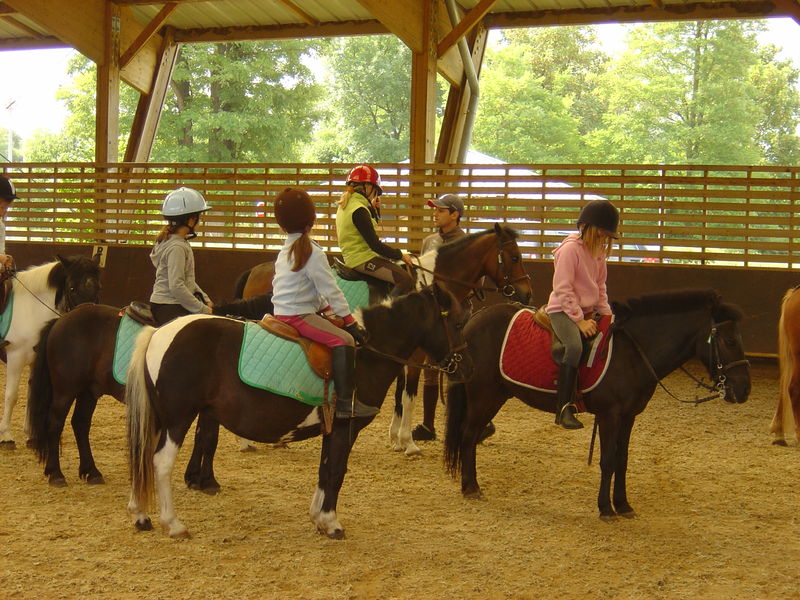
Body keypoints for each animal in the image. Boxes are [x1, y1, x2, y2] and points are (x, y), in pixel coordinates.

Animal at [0, 255, 101, 448]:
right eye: (72, 288)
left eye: (99, 287)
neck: (31, 310)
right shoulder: (16, 357)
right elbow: (11, 396)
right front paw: (5, 434)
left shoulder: (35, 359)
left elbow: (32, 393)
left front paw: (31, 433)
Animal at [26, 296, 276, 488]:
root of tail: (62, 319)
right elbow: (209, 439)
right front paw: (207, 480)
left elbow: (201, 438)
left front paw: (194, 477)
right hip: (65, 389)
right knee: (55, 424)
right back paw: (56, 473)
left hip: (89, 390)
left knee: (80, 424)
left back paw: (91, 471)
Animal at [127, 284, 472, 540]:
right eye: (457, 323)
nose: (464, 369)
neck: (366, 353)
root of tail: (158, 334)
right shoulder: (346, 428)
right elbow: (337, 471)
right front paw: (331, 522)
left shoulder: (331, 428)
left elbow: (325, 469)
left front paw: (318, 517)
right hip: (178, 419)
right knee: (160, 463)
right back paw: (173, 524)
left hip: (159, 419)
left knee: (142, 457)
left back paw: (141, 514)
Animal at [444, 290, 752, 520]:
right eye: (728, 340)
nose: (744, 390)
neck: (633, 352)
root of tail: (474, 319)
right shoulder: (610, 415)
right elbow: (607, 461)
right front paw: (606, 508)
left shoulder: (629, 416)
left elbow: (622, 460)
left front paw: (623, 505)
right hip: (484, 396)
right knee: (468, 436)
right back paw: (471, 487)